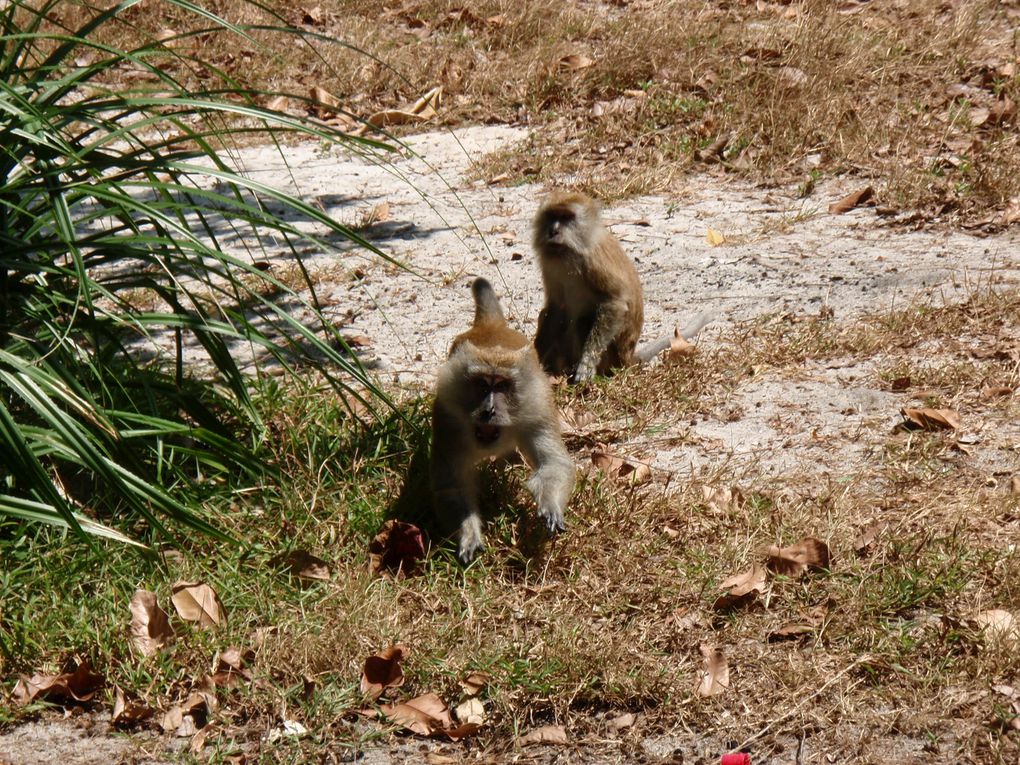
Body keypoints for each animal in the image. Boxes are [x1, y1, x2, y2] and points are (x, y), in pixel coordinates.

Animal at [428, 277, 575, 563]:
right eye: (482, 385)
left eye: (503, 386)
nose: (489, 410)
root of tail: (491, 327)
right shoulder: (447, 416)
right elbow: (452, 486)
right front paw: (468, 533)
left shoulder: (538, 409)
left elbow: (554, 464)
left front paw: (549, 505)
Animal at [530, 191, 714, 383]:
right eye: (551, 216)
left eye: (566, 217)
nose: (553, 231)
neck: (571, 252)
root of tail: (628, 358)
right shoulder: (550, 263)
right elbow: (556, 309)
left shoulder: (595, 260)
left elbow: (615, 302)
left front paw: (586, 363)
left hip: (613, 357)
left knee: (584, 320)